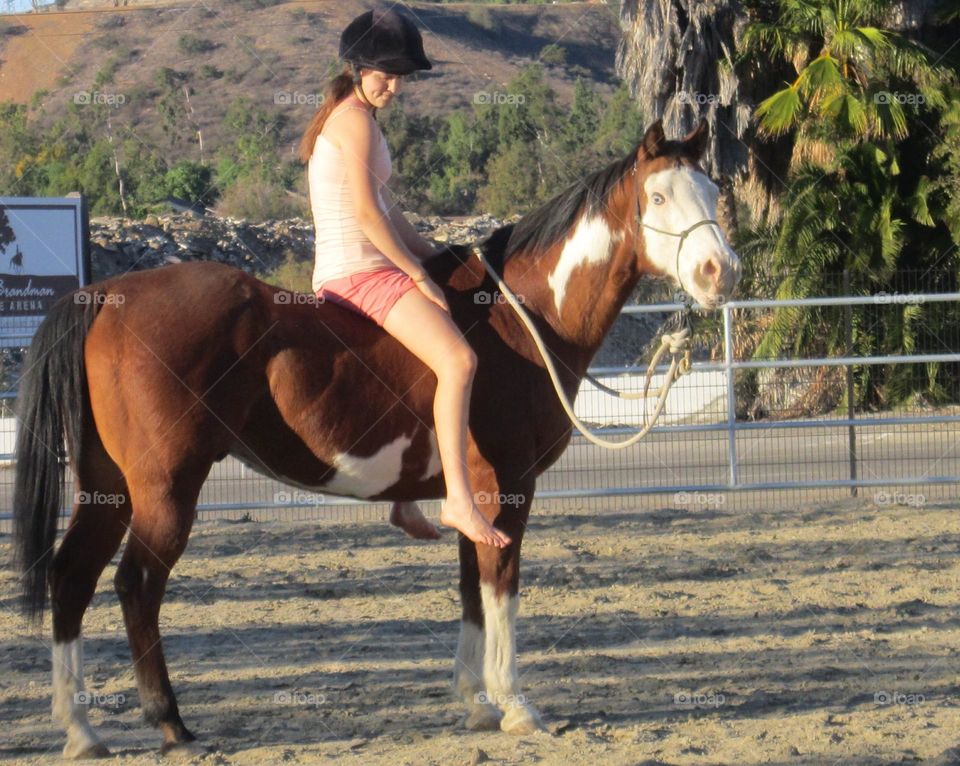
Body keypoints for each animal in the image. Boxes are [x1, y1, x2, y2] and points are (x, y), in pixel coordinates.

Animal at [11, 123, 740, 760]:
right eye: (658, 196)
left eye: (712, 189)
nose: (720, 271)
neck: (516, 318)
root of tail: (104, 297)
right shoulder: (508, 489)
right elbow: (501, 586)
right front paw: (514, 704)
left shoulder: (468, 497)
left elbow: (472, 588)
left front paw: (475, 700)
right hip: (165, 491)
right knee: (136, 586)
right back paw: (171, 724)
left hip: (109, 490)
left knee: (71, 577)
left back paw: (81, 729)